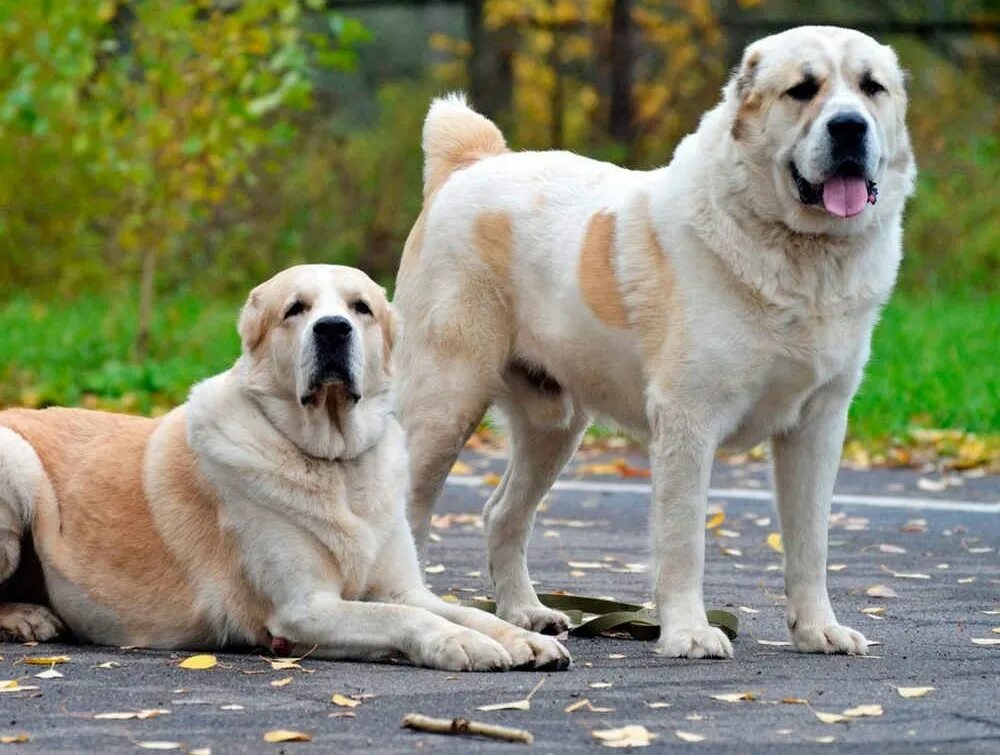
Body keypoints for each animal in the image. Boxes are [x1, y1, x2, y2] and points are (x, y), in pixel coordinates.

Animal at [0, 266, 572, 672]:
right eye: (295, 309)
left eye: (361, 308)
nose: (334, 329)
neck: (334, 462)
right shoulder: (303, 608)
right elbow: (401, 617)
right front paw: (460, 643)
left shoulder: (401, 587)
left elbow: (455, 608)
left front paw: (522, 637)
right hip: (17, 461)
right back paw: (27, 617)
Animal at [394, 26, 916, 660]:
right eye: (802, 90)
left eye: (871, 88)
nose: (849, 127)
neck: (800, 257)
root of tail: (473, 163)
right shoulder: (689, 420)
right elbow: (684, 538)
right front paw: (689, 633)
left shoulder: (818, 425)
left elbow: (810, 541)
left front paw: (819, 629)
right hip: (445, 405)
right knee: (410, 514)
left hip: (554, 427)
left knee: (502, 515)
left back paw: (527, 613)